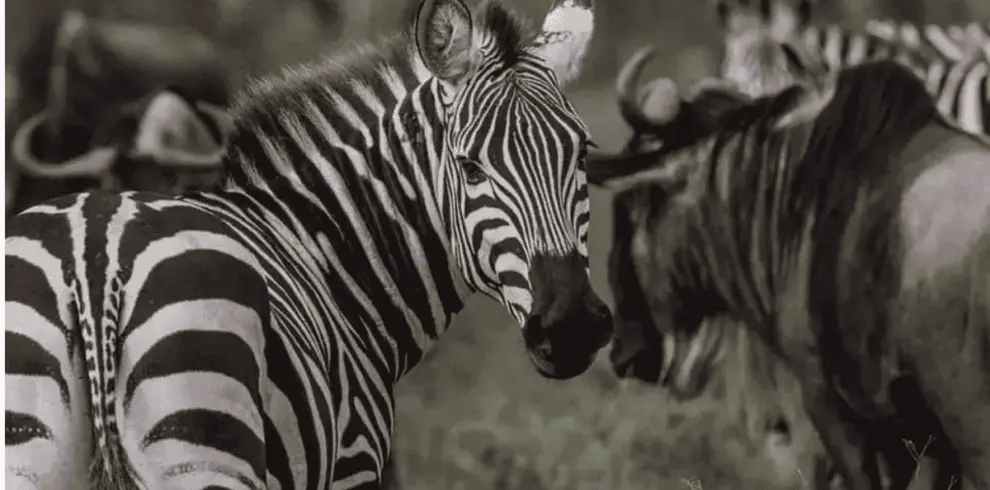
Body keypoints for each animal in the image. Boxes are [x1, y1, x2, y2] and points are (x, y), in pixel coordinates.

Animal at [4, 0, 614, 488]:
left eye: (582, 153)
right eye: (469, 166)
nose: (572, 327)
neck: (327, 253)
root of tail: (94, 259)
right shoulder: (355, 462)